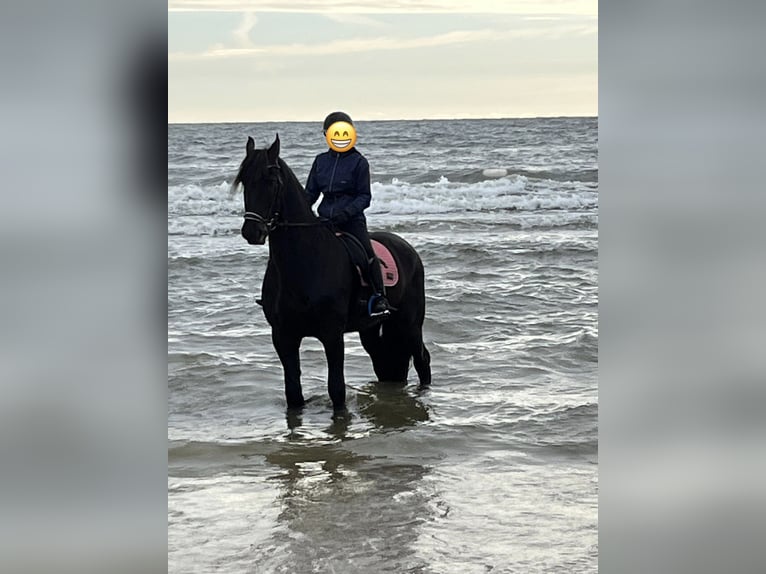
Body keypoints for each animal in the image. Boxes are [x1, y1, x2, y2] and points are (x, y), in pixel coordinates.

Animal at [234, 134, 431, 414]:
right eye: (244, 182)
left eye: (271, 181)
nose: (252, 232)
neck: (305, 263)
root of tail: (408, 249)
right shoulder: (283, 337)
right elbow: (294, 394)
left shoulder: (332, 335)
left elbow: (337, 390)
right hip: (372, 330)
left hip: (409, 323)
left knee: (422, 358)